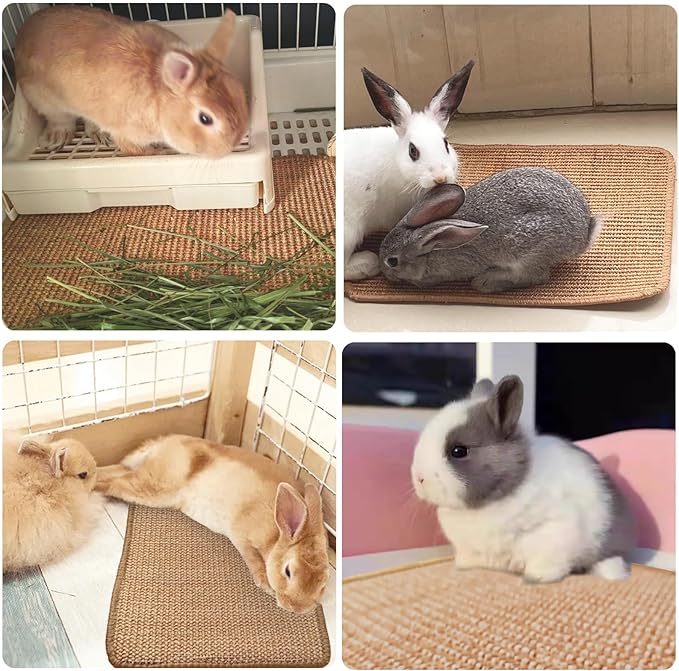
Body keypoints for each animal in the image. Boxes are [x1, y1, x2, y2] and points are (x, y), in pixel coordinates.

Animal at [15, 5, 248, 158]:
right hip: (45, 100)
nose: (232, 144)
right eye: (205, 119)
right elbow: (133, 149)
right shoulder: (126, 132)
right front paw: (157, 152)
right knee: (61, 119)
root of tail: (24, 29)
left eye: (239, 91)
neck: (159, 100)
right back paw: (57, 137)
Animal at [96, 434, 330, 614]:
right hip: (155, 486)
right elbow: (253, 559)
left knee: (116, 470)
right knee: (114, 483)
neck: (277, 535)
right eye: (288, 571)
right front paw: (264, 584)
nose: (297, 609)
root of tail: (160, 444)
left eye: (324, 583)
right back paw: (93, 488)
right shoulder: (242, 536)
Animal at [379, 167, 602, 291]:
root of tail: (583, 236)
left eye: (392, 261)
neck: (431, 248)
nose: (384, 274)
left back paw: (485, 283)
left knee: (534, 276)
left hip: (526, 250)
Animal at [411, 376, 636, 583]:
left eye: (458, 451)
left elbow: (547, 560)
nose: (419, 478)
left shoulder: (556, 529)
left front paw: (536, 578)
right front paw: (464, 566)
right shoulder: (469, 548)